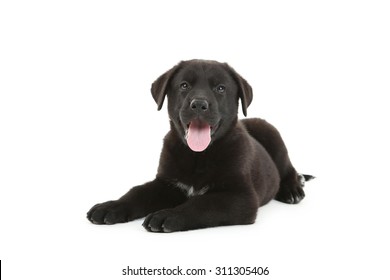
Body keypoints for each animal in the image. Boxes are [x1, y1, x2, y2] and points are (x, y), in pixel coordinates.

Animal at [86, 59, 314, 232]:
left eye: (220, 88)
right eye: (184, 85)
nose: (198, 104)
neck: (198, 156)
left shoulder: (241, 196)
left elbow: (201, 203)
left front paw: (167, 215)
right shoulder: (167, 183)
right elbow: (138, 192)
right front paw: (111, 207)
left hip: (270, 132)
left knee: (288, 168)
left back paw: (293, 188)